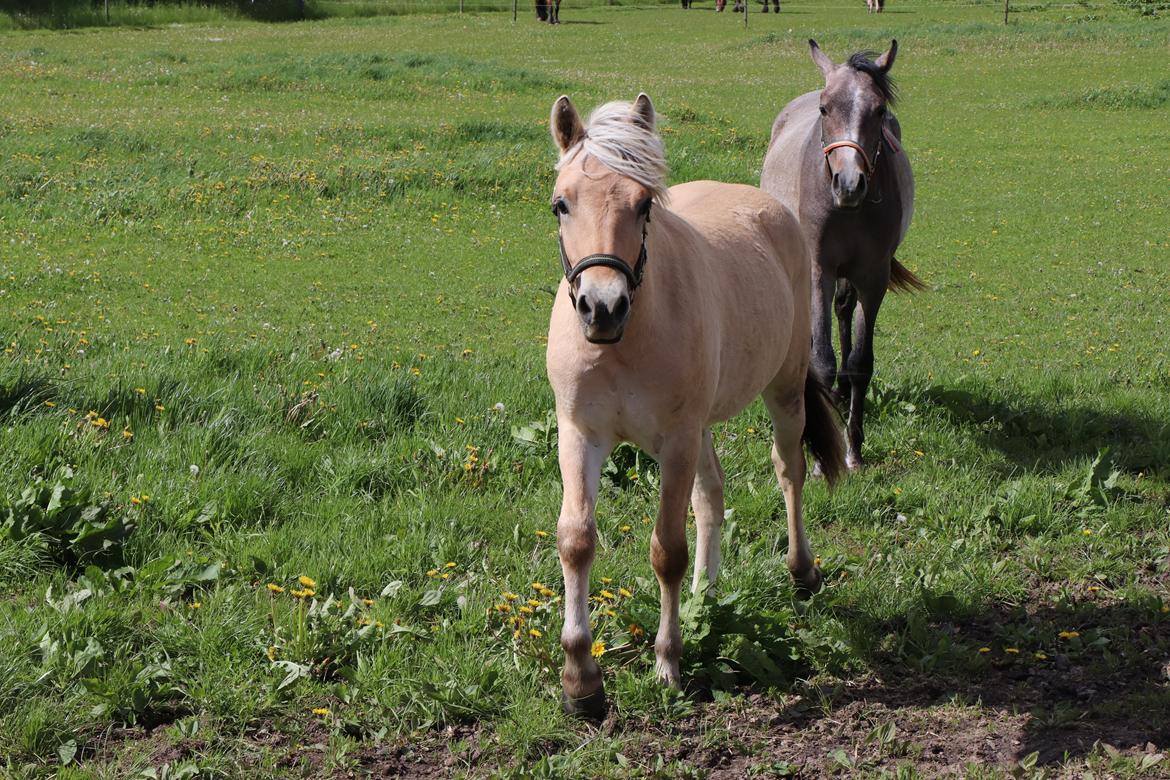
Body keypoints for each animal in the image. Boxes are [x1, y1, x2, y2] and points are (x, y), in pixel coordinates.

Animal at [545, 94, 842, 715]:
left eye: (643, 205)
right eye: (561, 203)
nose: (601, 306)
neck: (626, 341)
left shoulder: (675, 441)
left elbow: (667, 551)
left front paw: (668, 662)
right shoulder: (579, 433)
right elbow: (576, 540)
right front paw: (581, 679)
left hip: (782, 392)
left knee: (790, 471)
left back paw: (801, 573)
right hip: (703, 427)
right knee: (711, 495)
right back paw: (706, 594)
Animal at [758, 39, 921, 472]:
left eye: (879, 110)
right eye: (824, 109)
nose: (849, 183)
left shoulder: (873, 277)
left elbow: (860, 363)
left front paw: (854, 451)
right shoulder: (821, 270)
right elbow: (824, 360)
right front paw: (820, 458)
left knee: (845, 313)